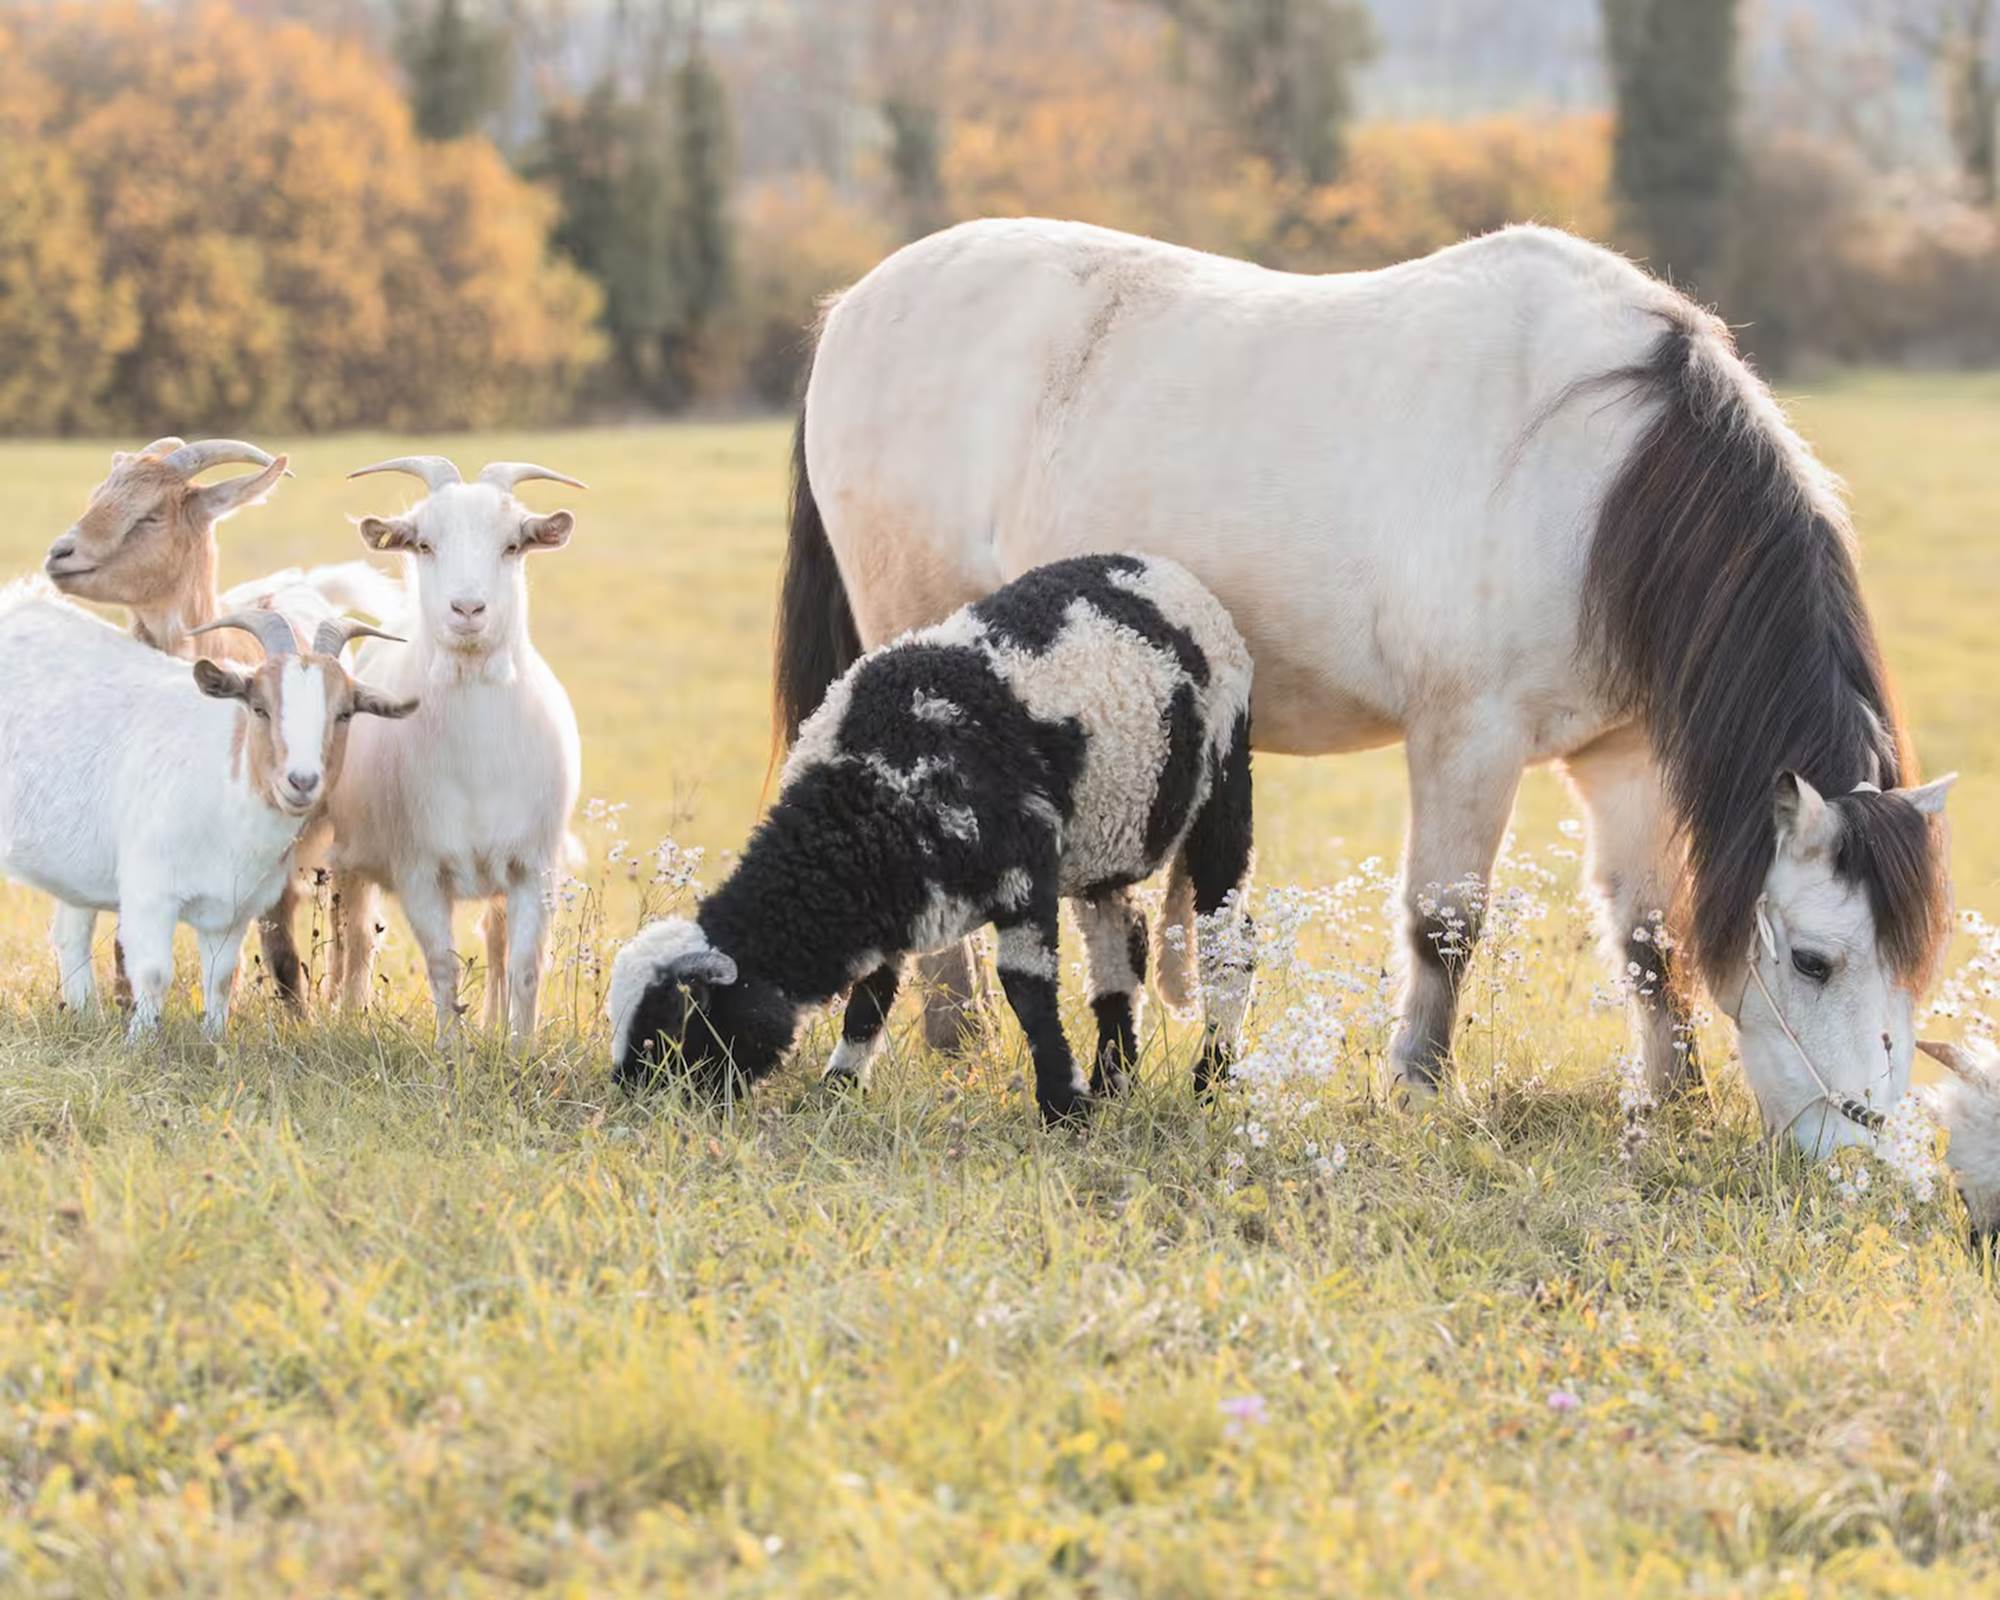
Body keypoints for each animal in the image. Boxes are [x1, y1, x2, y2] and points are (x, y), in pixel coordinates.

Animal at [0, 591, 414, 1037]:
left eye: (343, 713)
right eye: (259, 708)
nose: (302, 781)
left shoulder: (232, 909)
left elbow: (220, 979)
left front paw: (214, 1040)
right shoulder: (150, 892)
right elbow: (154, 973)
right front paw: (140, 1041)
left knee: (70, 934)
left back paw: (85, 1015)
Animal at [41, 436, 404, 1007]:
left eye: (151, 514)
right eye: (98, 495)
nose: (61, 554)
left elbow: (277, 946)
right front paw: (125, 1001)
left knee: (351, 924)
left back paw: (344, 1005)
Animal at [326, 457, 585, 1040]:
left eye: (512, 545)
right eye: (424, 544)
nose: (467, 608)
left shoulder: (534, 865)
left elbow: (525, 965)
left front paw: (519, 1048)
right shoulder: (419, 868)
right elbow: (441, 966)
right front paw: (450, 1050)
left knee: (495, 938)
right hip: (350, 857)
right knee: (355, 938)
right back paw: (348, 1018)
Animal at [607, 552, 1256, 1124]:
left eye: (674, 1028)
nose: (635, 1104)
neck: (864, 795)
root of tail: (1161, 571)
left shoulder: (1022, 871)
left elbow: (1026, 990)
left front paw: (1063, 1110)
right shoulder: (892, 894)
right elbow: (872, 994)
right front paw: (838, 1091)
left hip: (1225, 775)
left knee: (1230, 943)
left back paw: (1208, 1086)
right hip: (1106, 841)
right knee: (1123, 946)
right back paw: (1116, 1082)